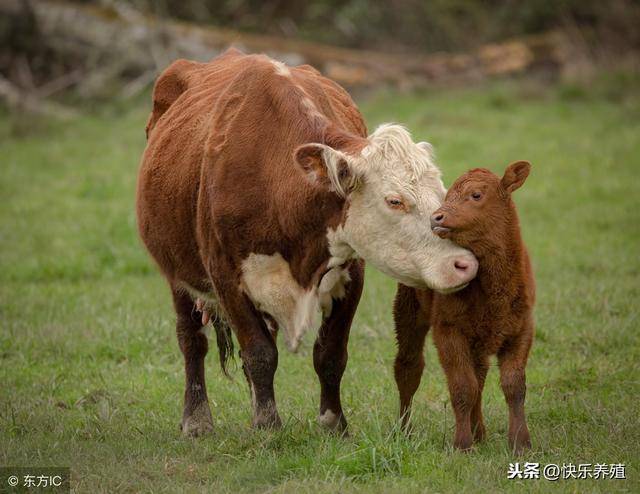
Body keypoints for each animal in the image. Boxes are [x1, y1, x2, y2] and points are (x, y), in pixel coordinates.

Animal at [136, 49, 476, 436]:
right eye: (394, 200)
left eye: (441, 194)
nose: (463, 264)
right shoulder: (225, 277)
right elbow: (259, 353)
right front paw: (268, 426)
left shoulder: (351, 273)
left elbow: (329, 354)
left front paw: (333, 423)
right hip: (177, 274)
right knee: (192, 339)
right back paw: (196, 419)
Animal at [396, 161, 536, 452]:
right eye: (447, 196)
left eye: (476, 195)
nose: (436, 217)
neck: (495, 291)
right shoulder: (449, 330)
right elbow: (462, 387)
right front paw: (462, 444)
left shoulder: (522, 329)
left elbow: (514, 385)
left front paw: (520, 442)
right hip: (408, 311)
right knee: (408, 368)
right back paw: (404, 432)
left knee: (479, 377)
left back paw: (479, 431)